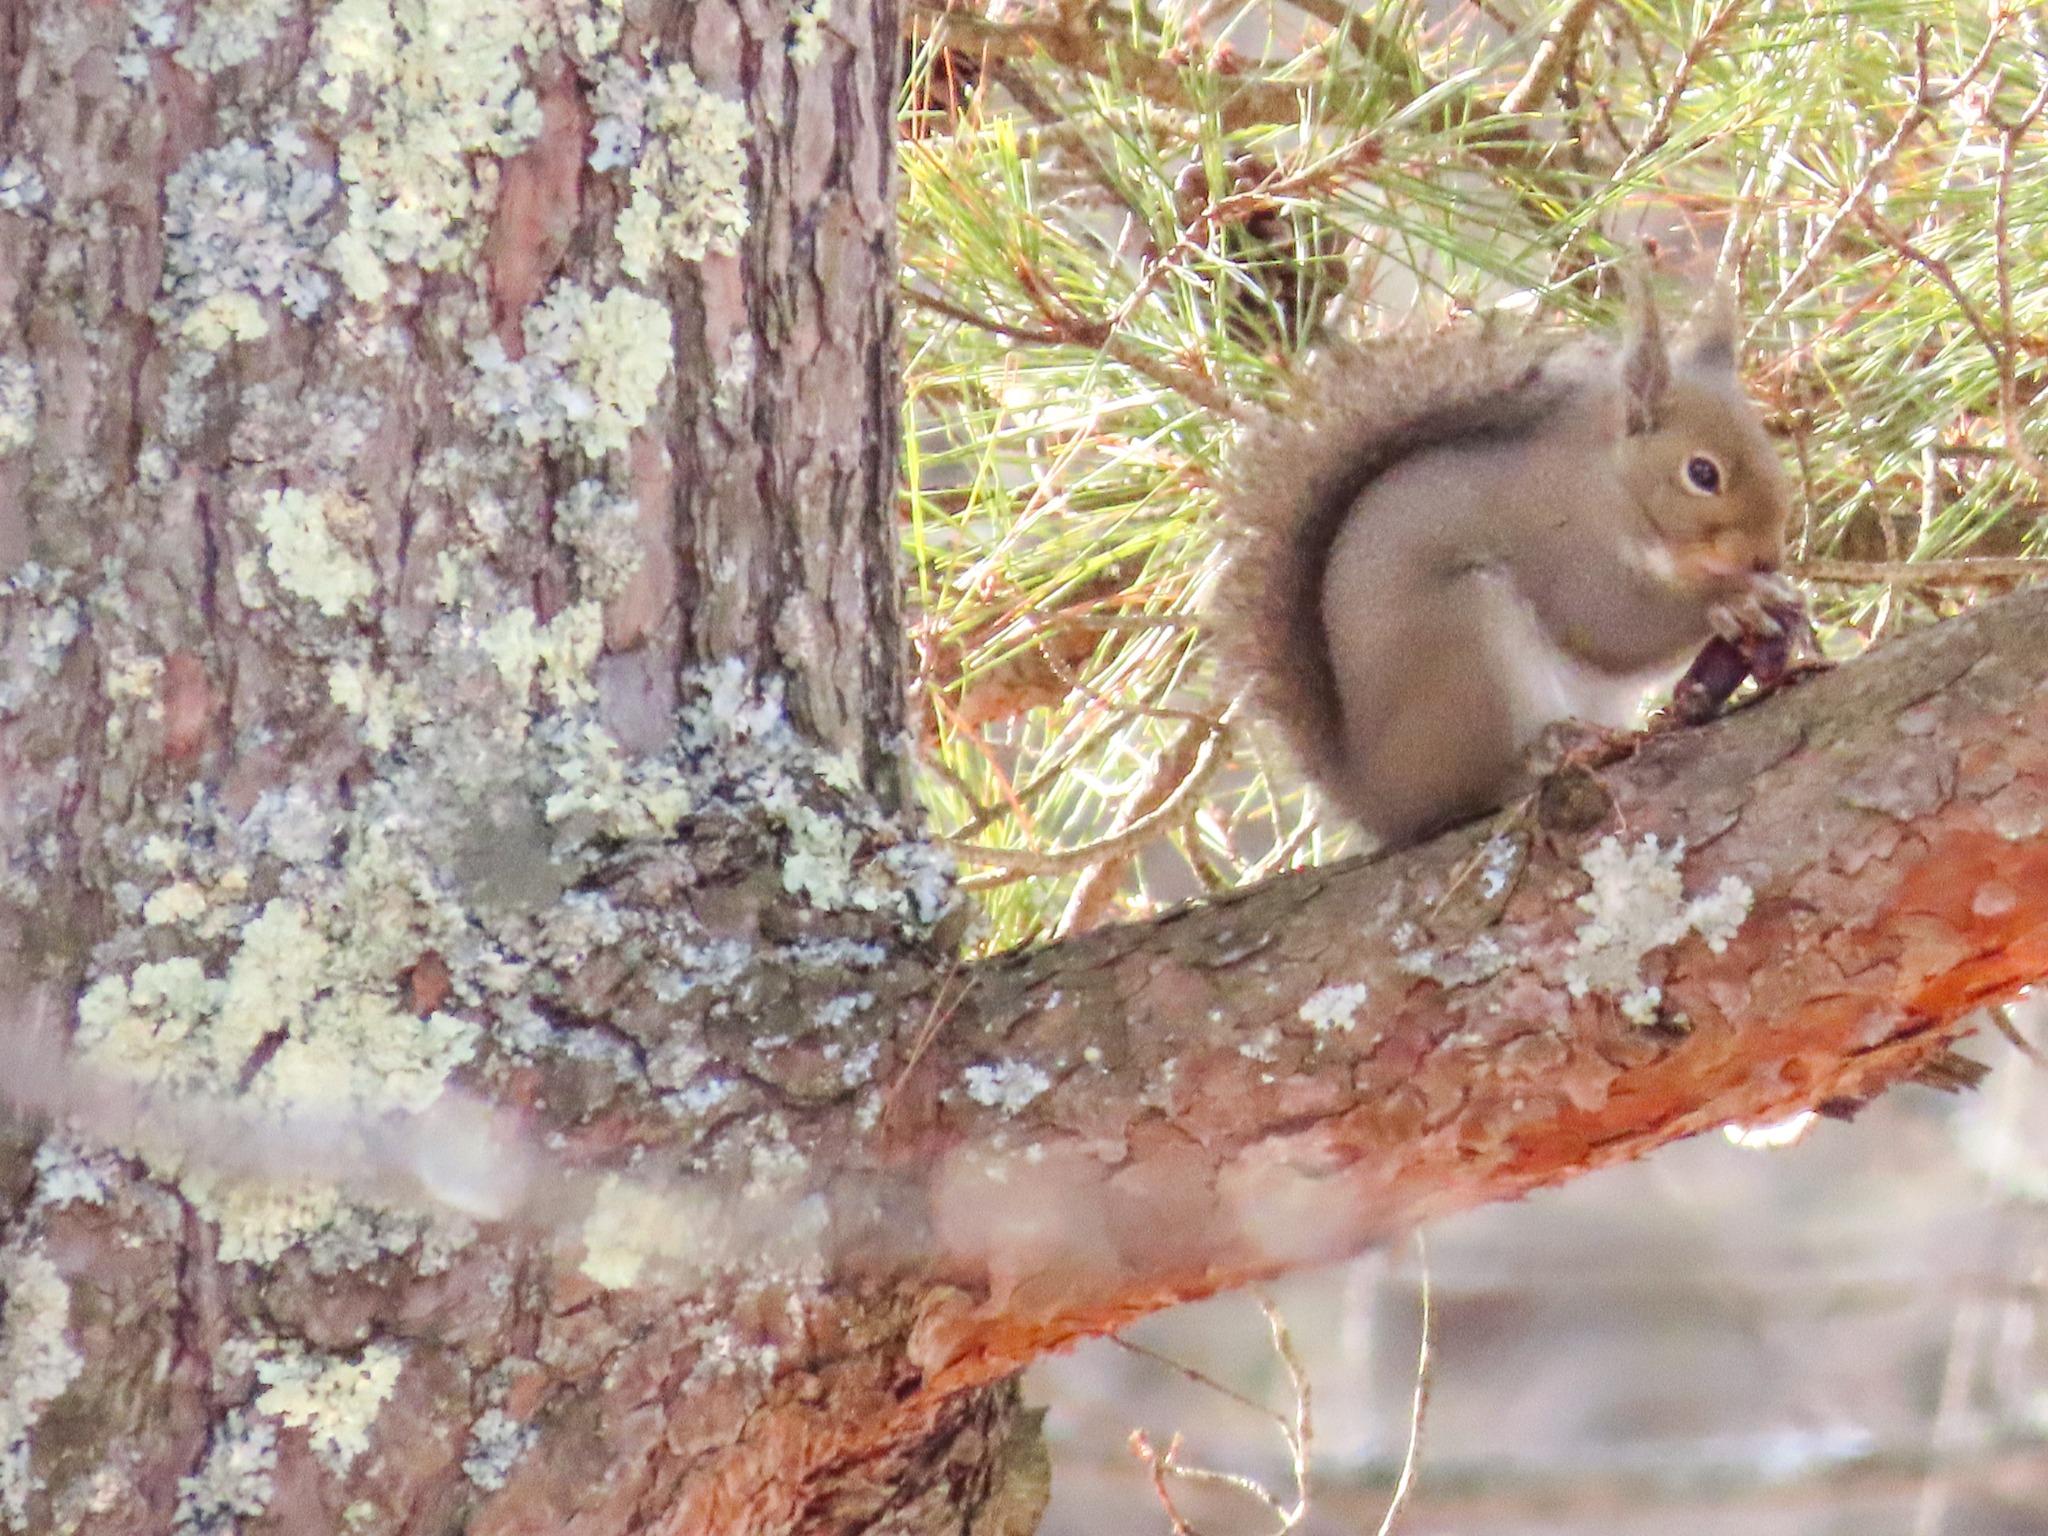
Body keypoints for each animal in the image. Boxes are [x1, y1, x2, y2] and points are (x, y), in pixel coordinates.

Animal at [1204, 280, 1802, 847]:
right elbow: (1611, 626)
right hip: (1464, 642)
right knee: (1481, 785)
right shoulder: (1558, 544)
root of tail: (1379, 801)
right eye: (1702, 473)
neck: (1610, 479)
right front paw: (1732, 599)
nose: (1767, 555)